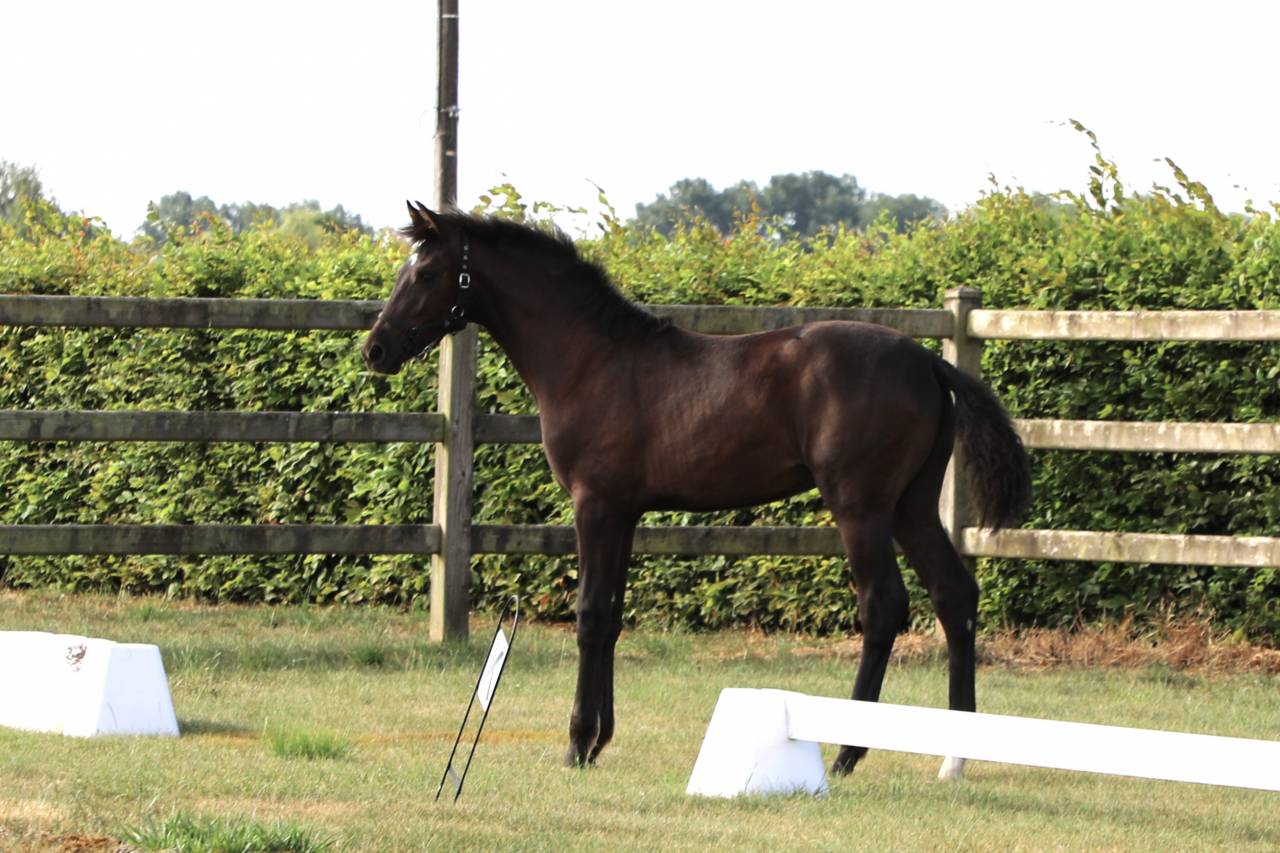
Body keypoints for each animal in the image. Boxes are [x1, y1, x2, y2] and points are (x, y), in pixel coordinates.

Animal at [362, 201, 1032, 778]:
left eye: (425, 272)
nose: (376, 348)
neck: (592, 360)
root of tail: (928, 362)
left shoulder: (594, 506)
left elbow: (589, 614)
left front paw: (577, 743)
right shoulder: (625, 514)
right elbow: (612, 617)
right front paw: (599, 740)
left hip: (860, 507)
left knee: (883, 606)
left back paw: (847, 753)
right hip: (911, 506)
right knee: (954, 595)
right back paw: (955, 756)